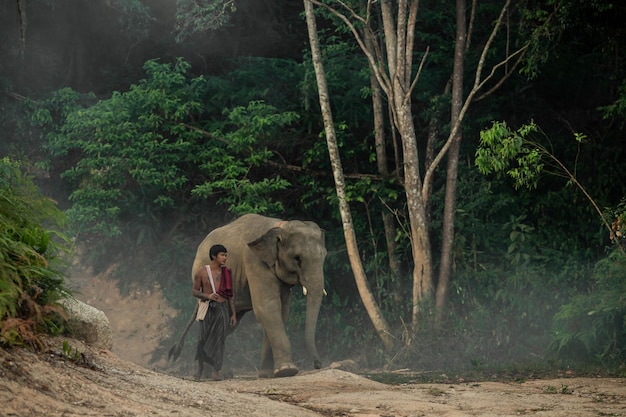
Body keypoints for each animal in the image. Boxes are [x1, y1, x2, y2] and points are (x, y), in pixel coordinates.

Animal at [171, 213, 326, 378]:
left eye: (324, 256)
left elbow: (281, 311)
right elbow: (267, 307)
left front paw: (267, 374)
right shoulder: (254, 261)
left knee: (229, 326)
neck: (279, 227)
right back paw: (208, 375)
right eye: (297, 258)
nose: (317, 364)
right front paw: (287, 371)